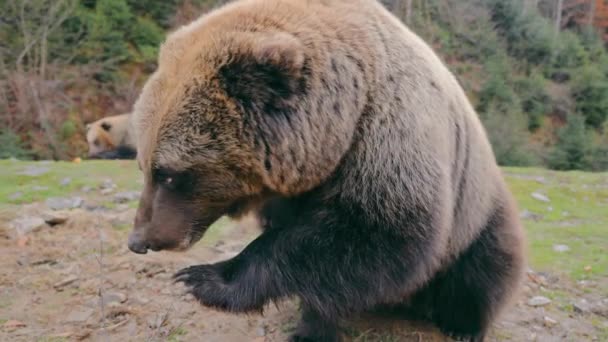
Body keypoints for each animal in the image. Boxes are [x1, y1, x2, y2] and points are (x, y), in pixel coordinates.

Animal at [127, 1, 528, 340]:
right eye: (144, 164)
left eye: (169, 174)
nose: (139, 241)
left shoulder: (387, 142)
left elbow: (372, 235)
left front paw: (206, 278)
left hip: (475, 208)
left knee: (481, 270)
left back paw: (463, 324)